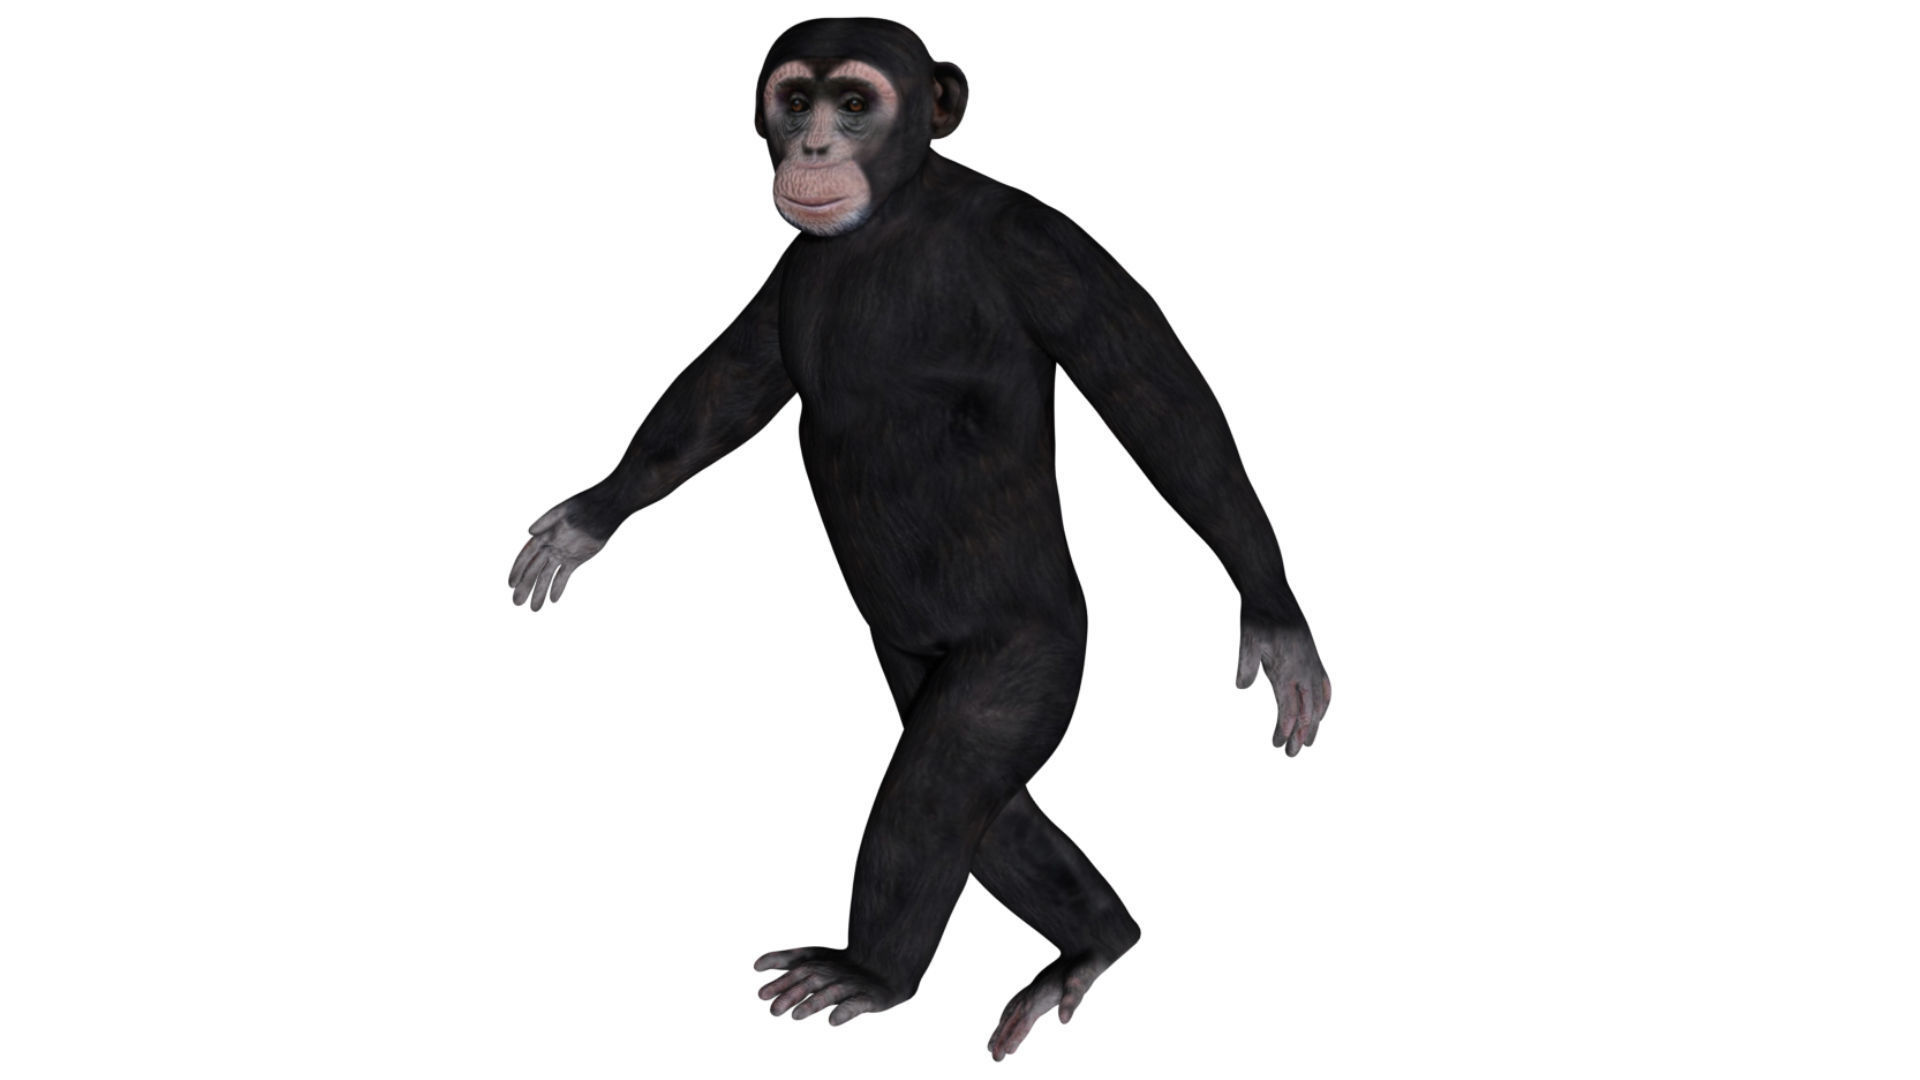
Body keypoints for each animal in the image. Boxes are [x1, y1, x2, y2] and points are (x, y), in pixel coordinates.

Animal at [507, 18, 1331, 1060]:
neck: (896, 218)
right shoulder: (791, 268)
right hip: (908, 656)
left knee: (951, 770)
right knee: (986, 802)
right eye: (796, 99)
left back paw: (878, 972)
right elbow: (728, 387)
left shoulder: (1048, 249)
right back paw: (1095, 941)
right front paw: (586, 520)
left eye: (855, 103)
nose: (816, 144)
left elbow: (1158, 400)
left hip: (1032, 648)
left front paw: (1278, 626)